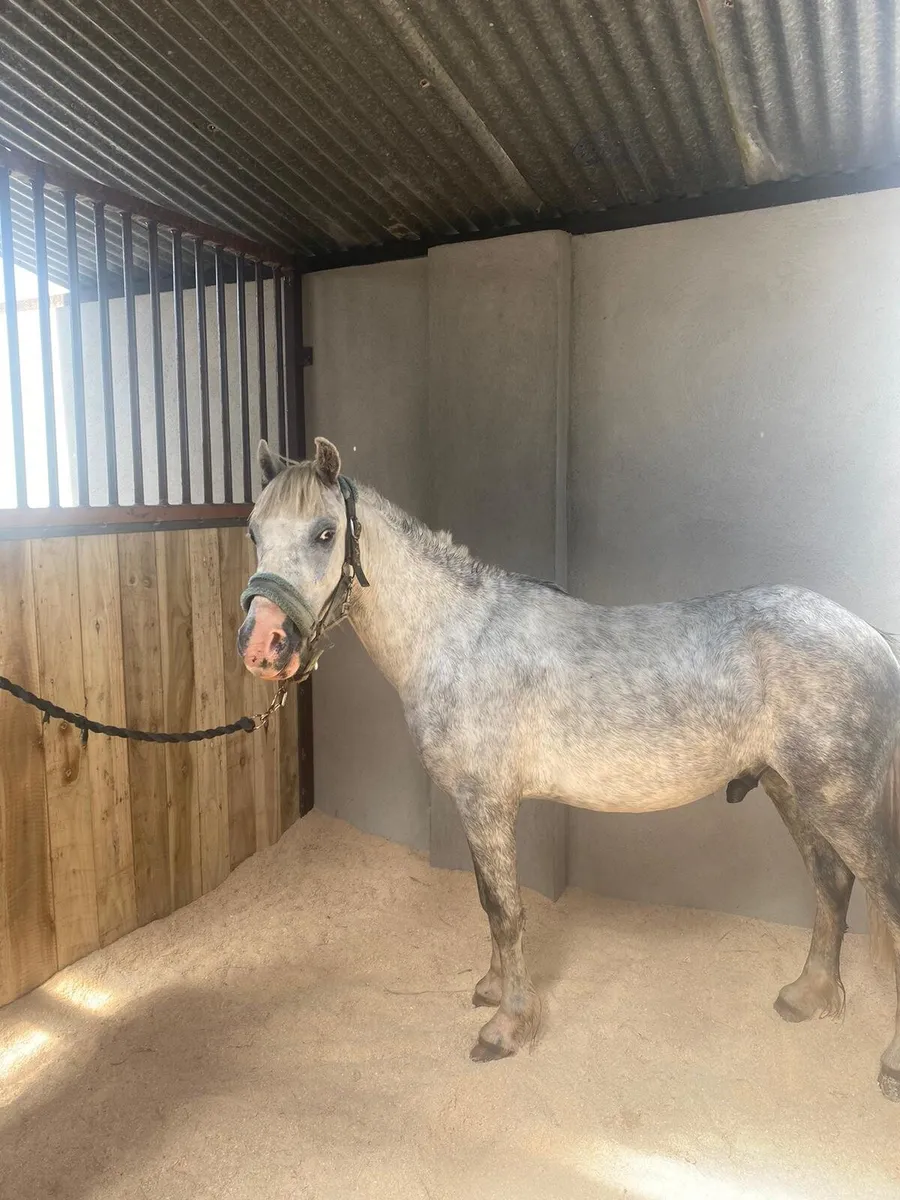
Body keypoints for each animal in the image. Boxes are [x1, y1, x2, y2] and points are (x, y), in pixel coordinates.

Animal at [238, 436, 900, 1100]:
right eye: (253, 530)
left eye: (325, 533)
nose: (262, 644)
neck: (459, 639)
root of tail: (871, 635)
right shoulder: (476, 807)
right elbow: (488, 901)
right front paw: (493, 989)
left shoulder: (487, 804)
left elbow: (507, 912)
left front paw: (507, 1027)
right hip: (792, 790)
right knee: (831, 884)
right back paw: (808, 996)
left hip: (840, 804)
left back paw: (888, 1063)